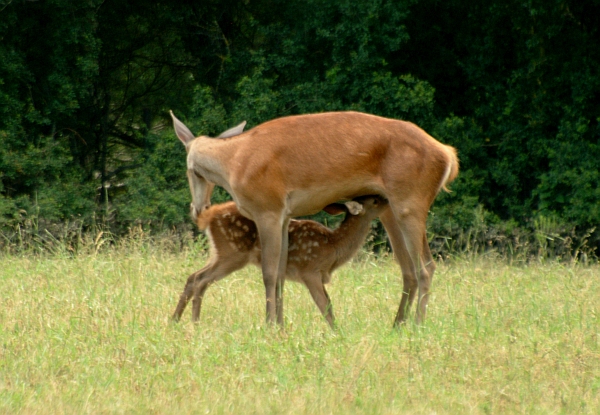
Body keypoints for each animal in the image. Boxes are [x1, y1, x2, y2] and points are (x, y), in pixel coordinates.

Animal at [172, 195, 390, 328]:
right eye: (375, 200)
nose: (388, 199)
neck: (332, 248)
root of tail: (209, 216)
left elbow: (328, 303)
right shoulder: (310, 271)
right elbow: (325, 306)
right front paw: (337, 334)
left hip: (220, 252)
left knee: (194, 277)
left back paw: (176, 321)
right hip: (232, 252)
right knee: (200, 279)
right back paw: (193, 322)